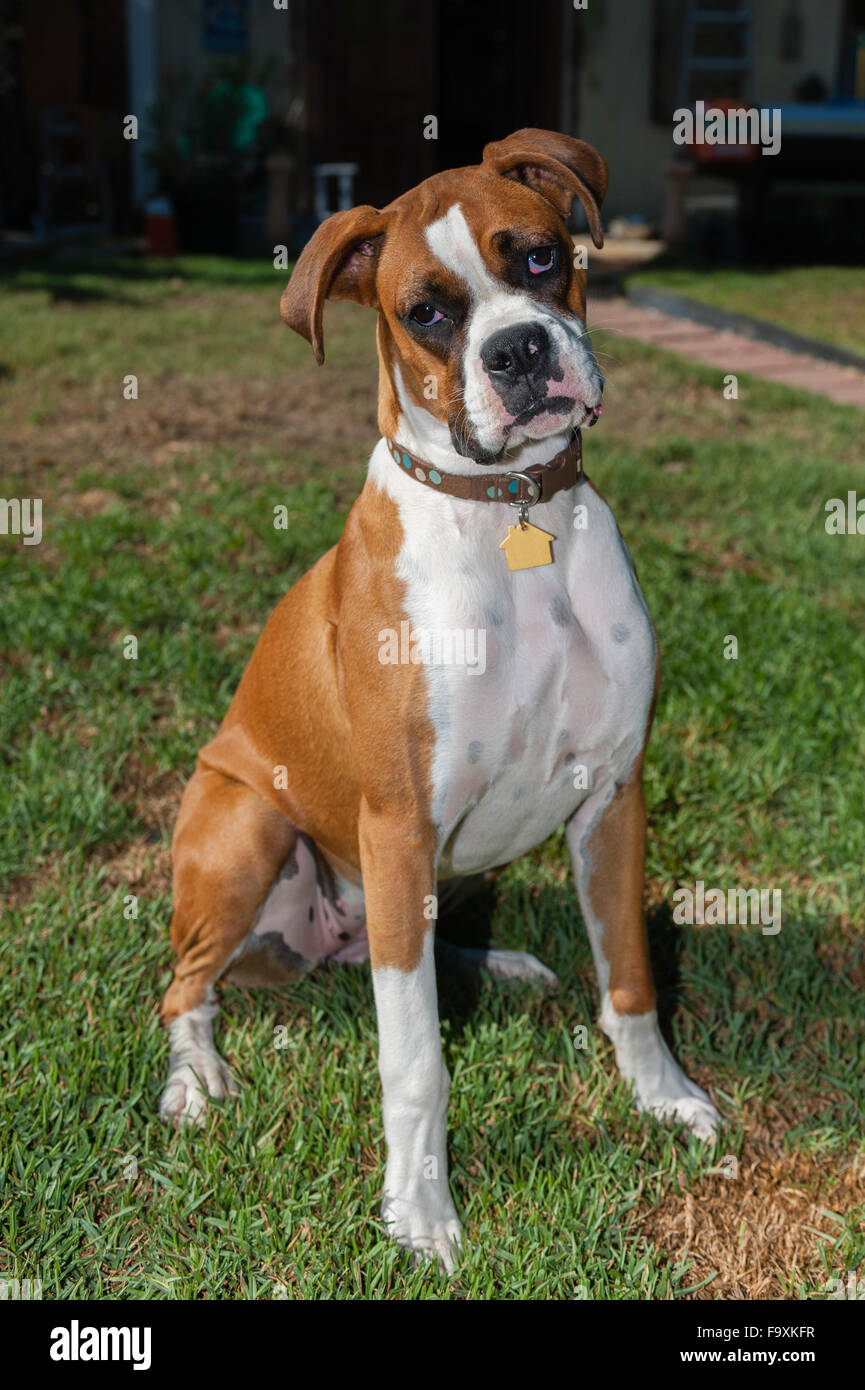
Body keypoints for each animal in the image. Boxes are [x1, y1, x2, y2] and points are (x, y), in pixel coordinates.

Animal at [159, 130, 723, 1273]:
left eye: (541, 257)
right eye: (425, 312)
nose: (517, 352)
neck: (511, 519)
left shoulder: (612, 798)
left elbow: (633, 980)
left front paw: (663, 1097)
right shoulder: (397, 823)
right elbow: (415, 1057)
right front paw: (418, 1210)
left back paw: (496, 962)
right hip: (250, 828)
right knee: (183, 985)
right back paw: (194, 1080)